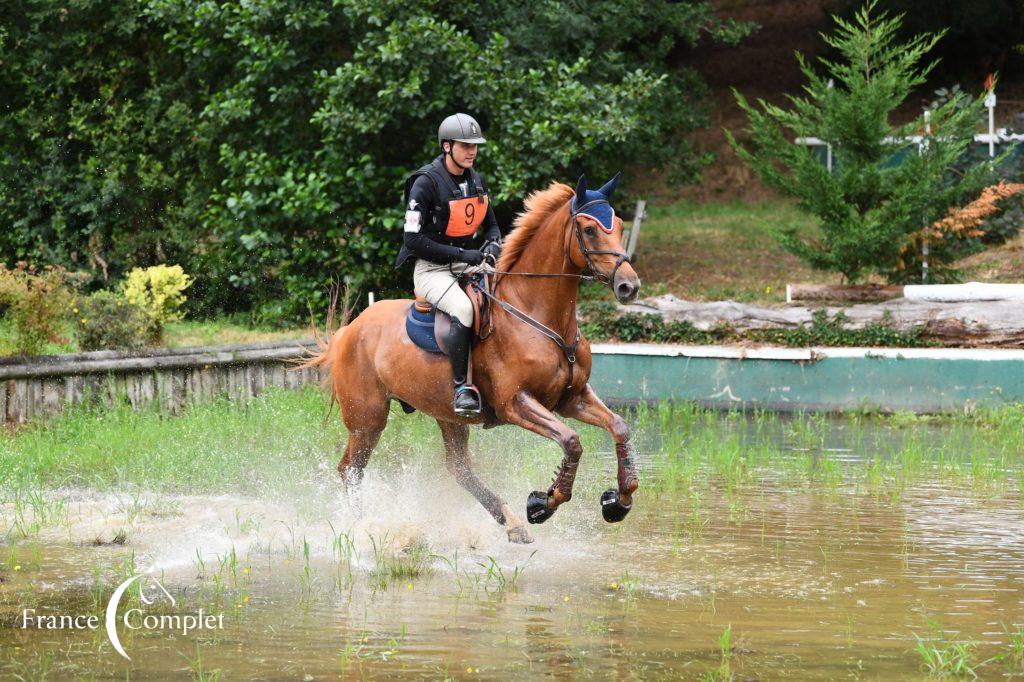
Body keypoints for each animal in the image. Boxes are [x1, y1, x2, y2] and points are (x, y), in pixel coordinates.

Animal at [296, 174, 643, 540]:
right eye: (589, 230)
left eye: (620, 225)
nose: (629, 286)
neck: (540, 317)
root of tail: (348, 331)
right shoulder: (515, 403)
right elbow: (571, 441)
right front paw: (543, 504)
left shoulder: (571, 398)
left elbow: (619, 427)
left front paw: (619, 501)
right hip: (367, 420)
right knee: (351, 468)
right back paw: (363, 527)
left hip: (446, 414)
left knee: (458, 468)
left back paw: (511, 522)